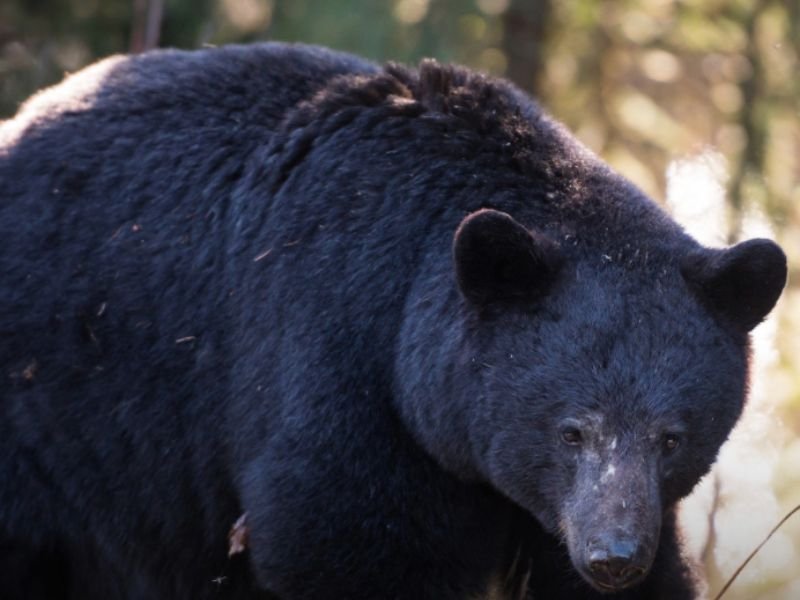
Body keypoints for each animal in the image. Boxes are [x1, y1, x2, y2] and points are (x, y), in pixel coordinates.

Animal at [0, 42, 787, 600]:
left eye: (671, 438)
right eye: (571, 430)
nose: (614, 556)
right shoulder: (332, 347)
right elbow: (347, 540)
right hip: (55, 425)